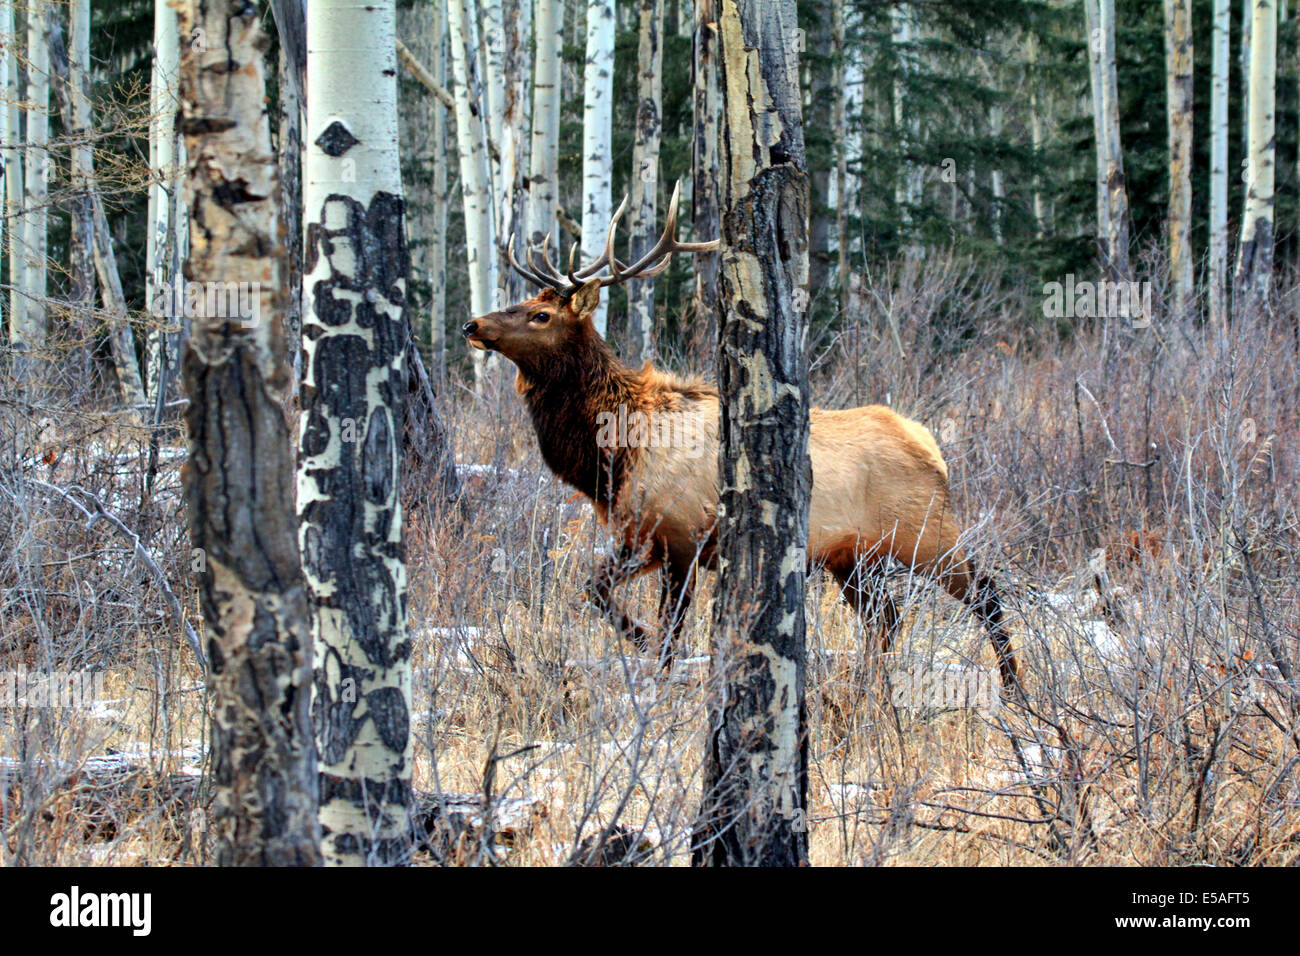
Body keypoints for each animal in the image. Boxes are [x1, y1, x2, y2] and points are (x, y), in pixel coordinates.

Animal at [462, 180, 1019, 686]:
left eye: (541, 314)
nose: (472, 324)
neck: (613, 455)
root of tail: (932, 448)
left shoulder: (680, 537)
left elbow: (668, 630)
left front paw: (653, 661)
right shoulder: (640, 537)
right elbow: (593, 588)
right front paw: (641, 643)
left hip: (926, 533)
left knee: (987, 595)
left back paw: (1014, 690)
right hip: (851, 556)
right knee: (887, 617)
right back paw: (868, 687)